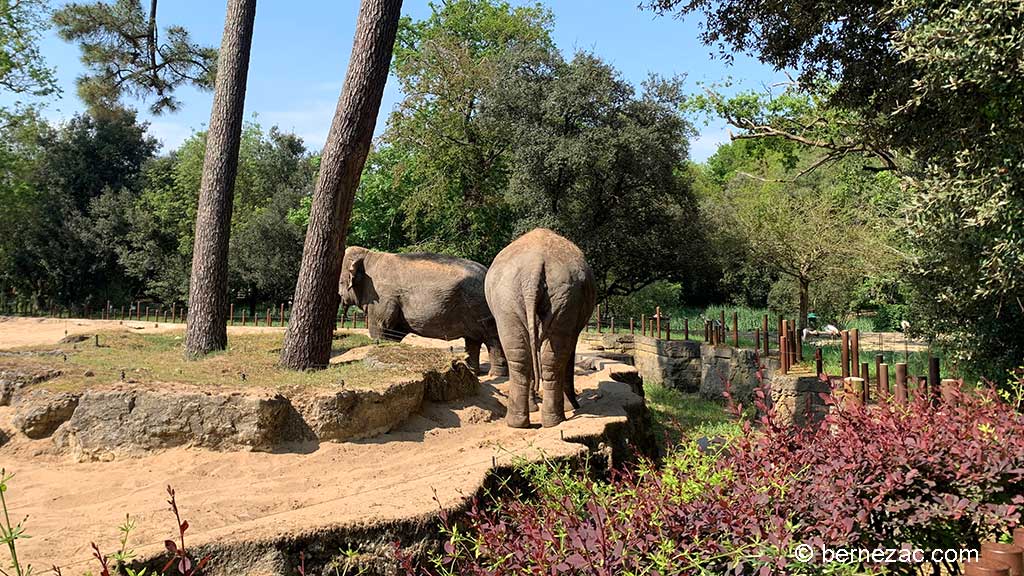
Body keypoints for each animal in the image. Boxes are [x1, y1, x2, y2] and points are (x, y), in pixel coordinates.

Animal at [339, 243, 507, 375]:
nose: (341, 297)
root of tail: (486, 271)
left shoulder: (383, 298)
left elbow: (381, 328)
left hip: (480, 306)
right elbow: (394, 333)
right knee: (473, 339)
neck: (369, 256)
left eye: (340, 282)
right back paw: (473, 371)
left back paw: (495, 374)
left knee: (492, 338)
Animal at [483, 228, 598, 426]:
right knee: (553, 357)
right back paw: (555, 419)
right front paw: (573, 407)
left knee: (520, 356)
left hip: (511, 298)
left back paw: (520, 422)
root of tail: (534, 267)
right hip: (561, 298)